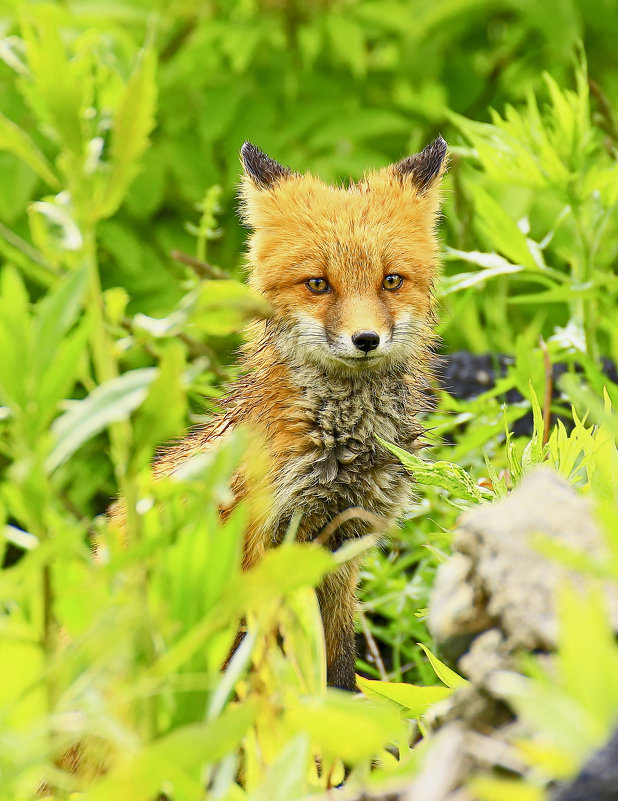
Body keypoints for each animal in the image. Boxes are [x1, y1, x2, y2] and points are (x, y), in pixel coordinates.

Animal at [145, 138, 446, 688]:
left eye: (391, 280)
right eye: (318, 284)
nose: (366, 339)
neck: (339, 451)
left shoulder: (343, 553)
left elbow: (339, 669)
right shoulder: (261, 554)